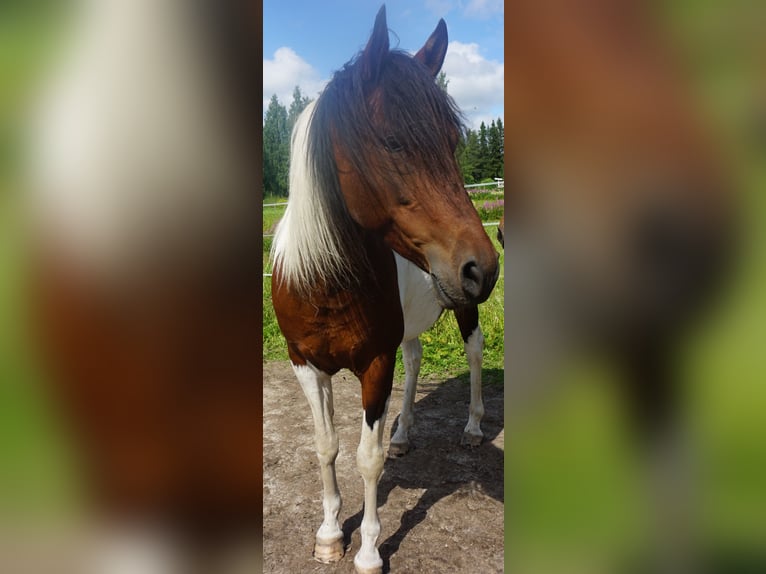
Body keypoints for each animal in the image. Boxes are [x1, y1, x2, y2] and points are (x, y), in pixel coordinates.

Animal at [270, 6, 499, 573]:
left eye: (453, 142)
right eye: (393, 142)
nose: (482, 268)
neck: (324, 279)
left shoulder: (374, 362)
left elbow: (365, 458)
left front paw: (370, 550)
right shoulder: (304, 363)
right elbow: (326, 445)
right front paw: (330, 532)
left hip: (462, 310)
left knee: (476, 352)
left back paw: (472, 428)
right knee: (415, 360)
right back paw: (403, 434)